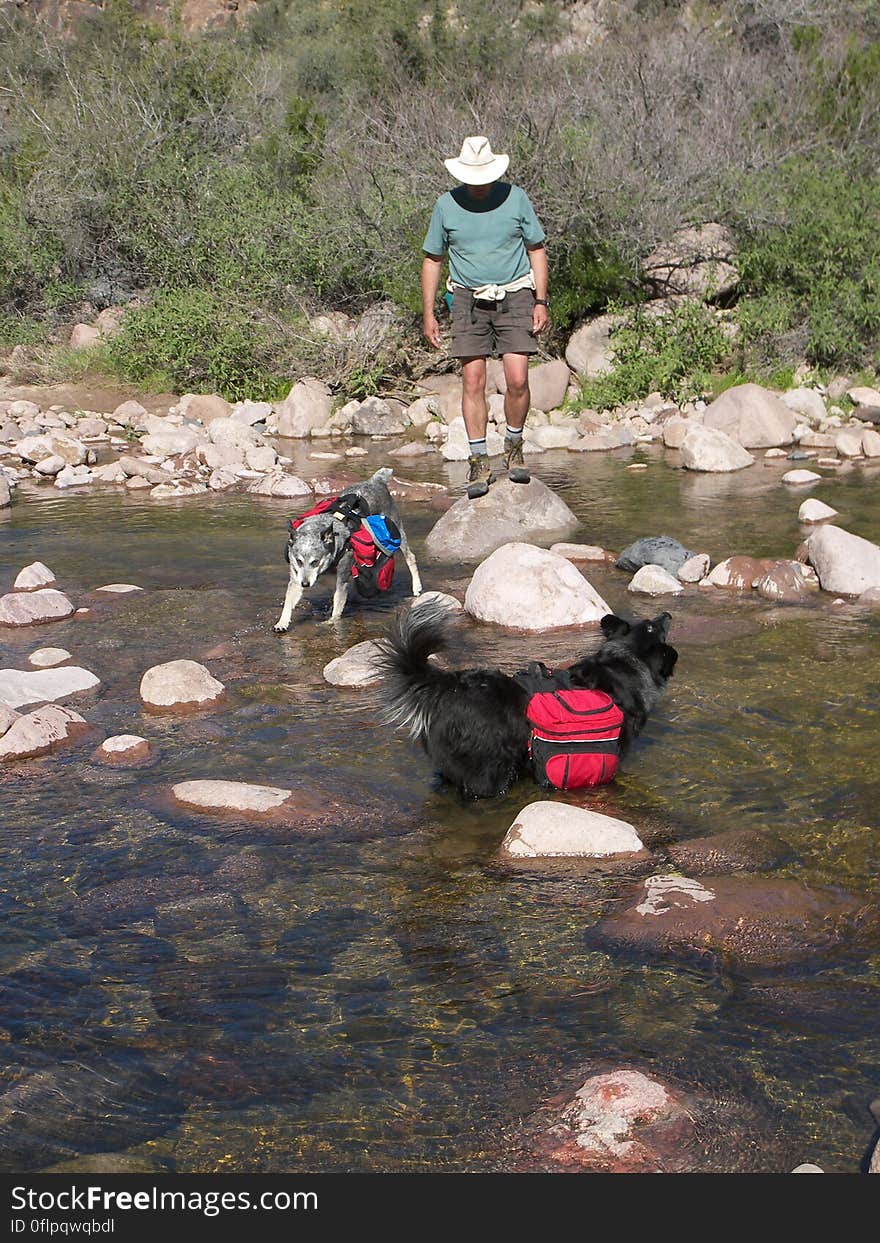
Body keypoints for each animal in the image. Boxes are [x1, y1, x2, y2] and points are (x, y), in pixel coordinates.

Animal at [277, 467, 425, 631]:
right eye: (298, 561)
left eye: (315, 562)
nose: (305, 584)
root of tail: (376, 480)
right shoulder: (296, 576)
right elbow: (289, 599)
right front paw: (281, 623)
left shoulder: (341, 578)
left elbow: (338, 604)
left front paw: (330, 622)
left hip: (397, 528)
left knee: (410, 556)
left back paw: (416, 588)